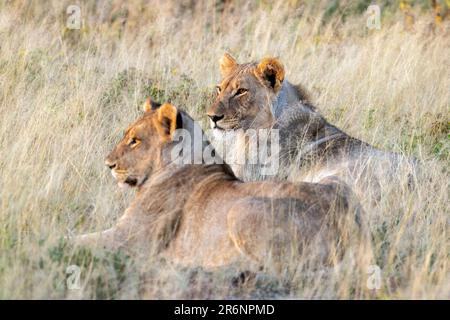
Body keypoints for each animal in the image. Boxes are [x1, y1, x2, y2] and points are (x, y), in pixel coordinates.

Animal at [74, 99, 362, 272]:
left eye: (135, 140)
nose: (108, 164)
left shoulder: (130, 239)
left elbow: (80, 240)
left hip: (241, 211)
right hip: (337, 183)